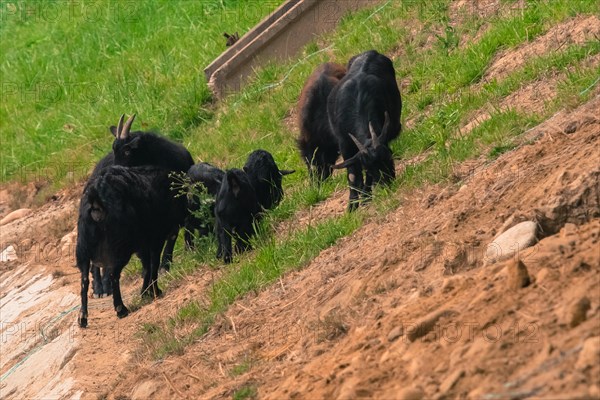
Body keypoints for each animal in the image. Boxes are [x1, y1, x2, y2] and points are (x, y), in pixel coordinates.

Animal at [76, 164, 186, 326]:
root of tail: (96, 200)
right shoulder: (155, 239)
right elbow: (153, 265)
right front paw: (154, 292)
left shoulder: (143, 245)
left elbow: (147, 267)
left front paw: (146, 293)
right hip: (119, 246)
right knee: (113, 274)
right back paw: (121, 309)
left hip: (83, 247)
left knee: (84, 280)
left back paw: (82, 318)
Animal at [328, 51, 404, 211]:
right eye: (369, 168)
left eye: (390, 157)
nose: (388, 184)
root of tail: (370, 52)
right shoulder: (344, 143)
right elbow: (352, 174)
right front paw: (352, 205)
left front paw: (365, 197)